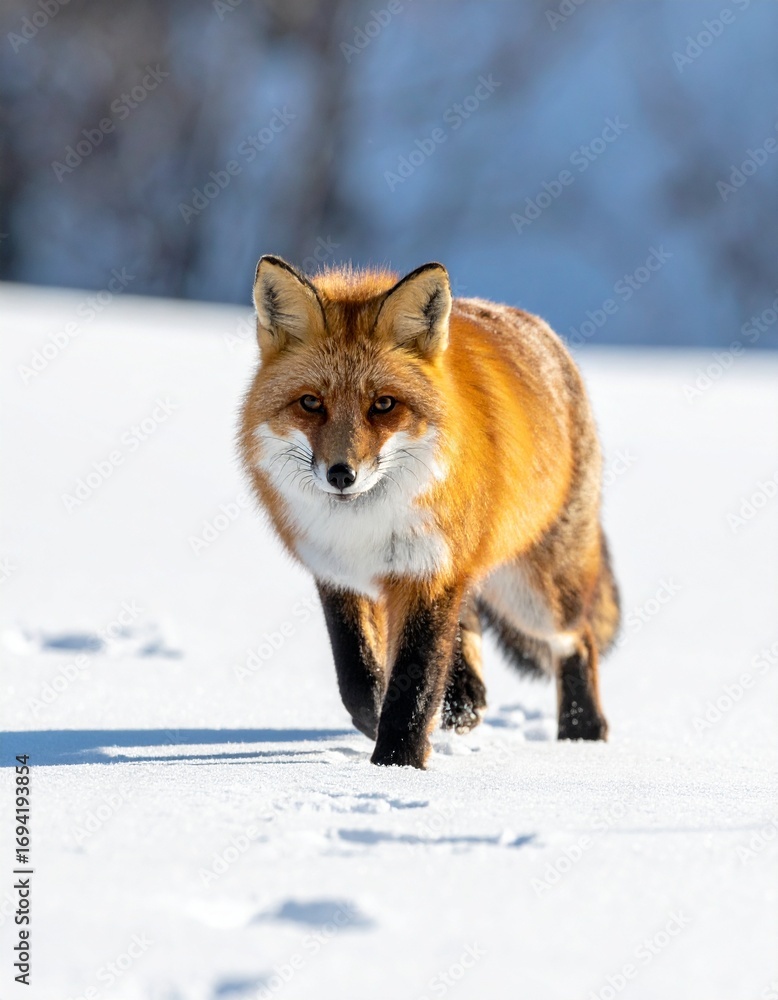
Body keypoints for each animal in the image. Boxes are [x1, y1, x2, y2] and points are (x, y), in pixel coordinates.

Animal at [238, 255, 620, 769]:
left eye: (383, 404)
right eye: (311, 403)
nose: (341, 474)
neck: (364, 529)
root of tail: (541, 330)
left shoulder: (428, 572)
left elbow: (415, 683)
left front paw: (397, 763)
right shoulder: (337, 575)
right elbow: (357, 676)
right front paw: (383, 722)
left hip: (533, 592)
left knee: (578, 637)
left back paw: (582, 732)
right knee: (471, 627)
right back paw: (467, 702)